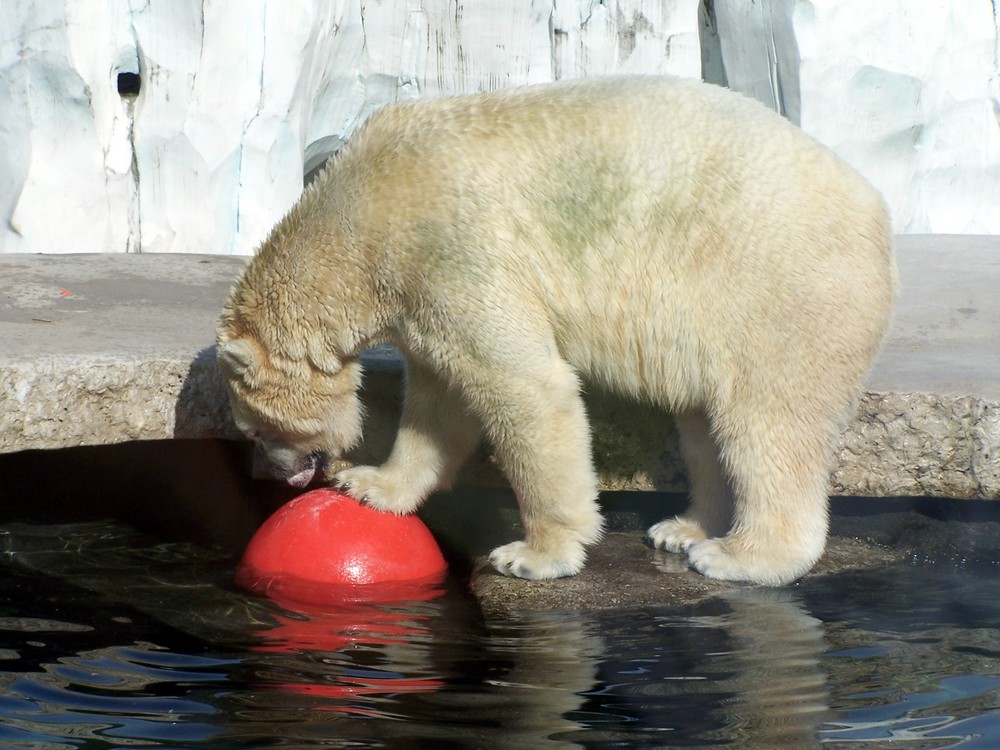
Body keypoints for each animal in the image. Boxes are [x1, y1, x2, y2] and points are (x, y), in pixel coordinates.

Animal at [219, 78, 900, 592]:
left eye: (254, 430)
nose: (274, 475)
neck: (354, 225)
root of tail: (876, 213)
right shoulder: (423, 296)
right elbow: (439, 397)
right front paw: (371, 485)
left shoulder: (454, 251)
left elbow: (526, 387)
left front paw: (534, 553)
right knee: (704, 425)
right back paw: (683, 527)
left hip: (777, 294)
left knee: (766, 425)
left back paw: (740, 556)